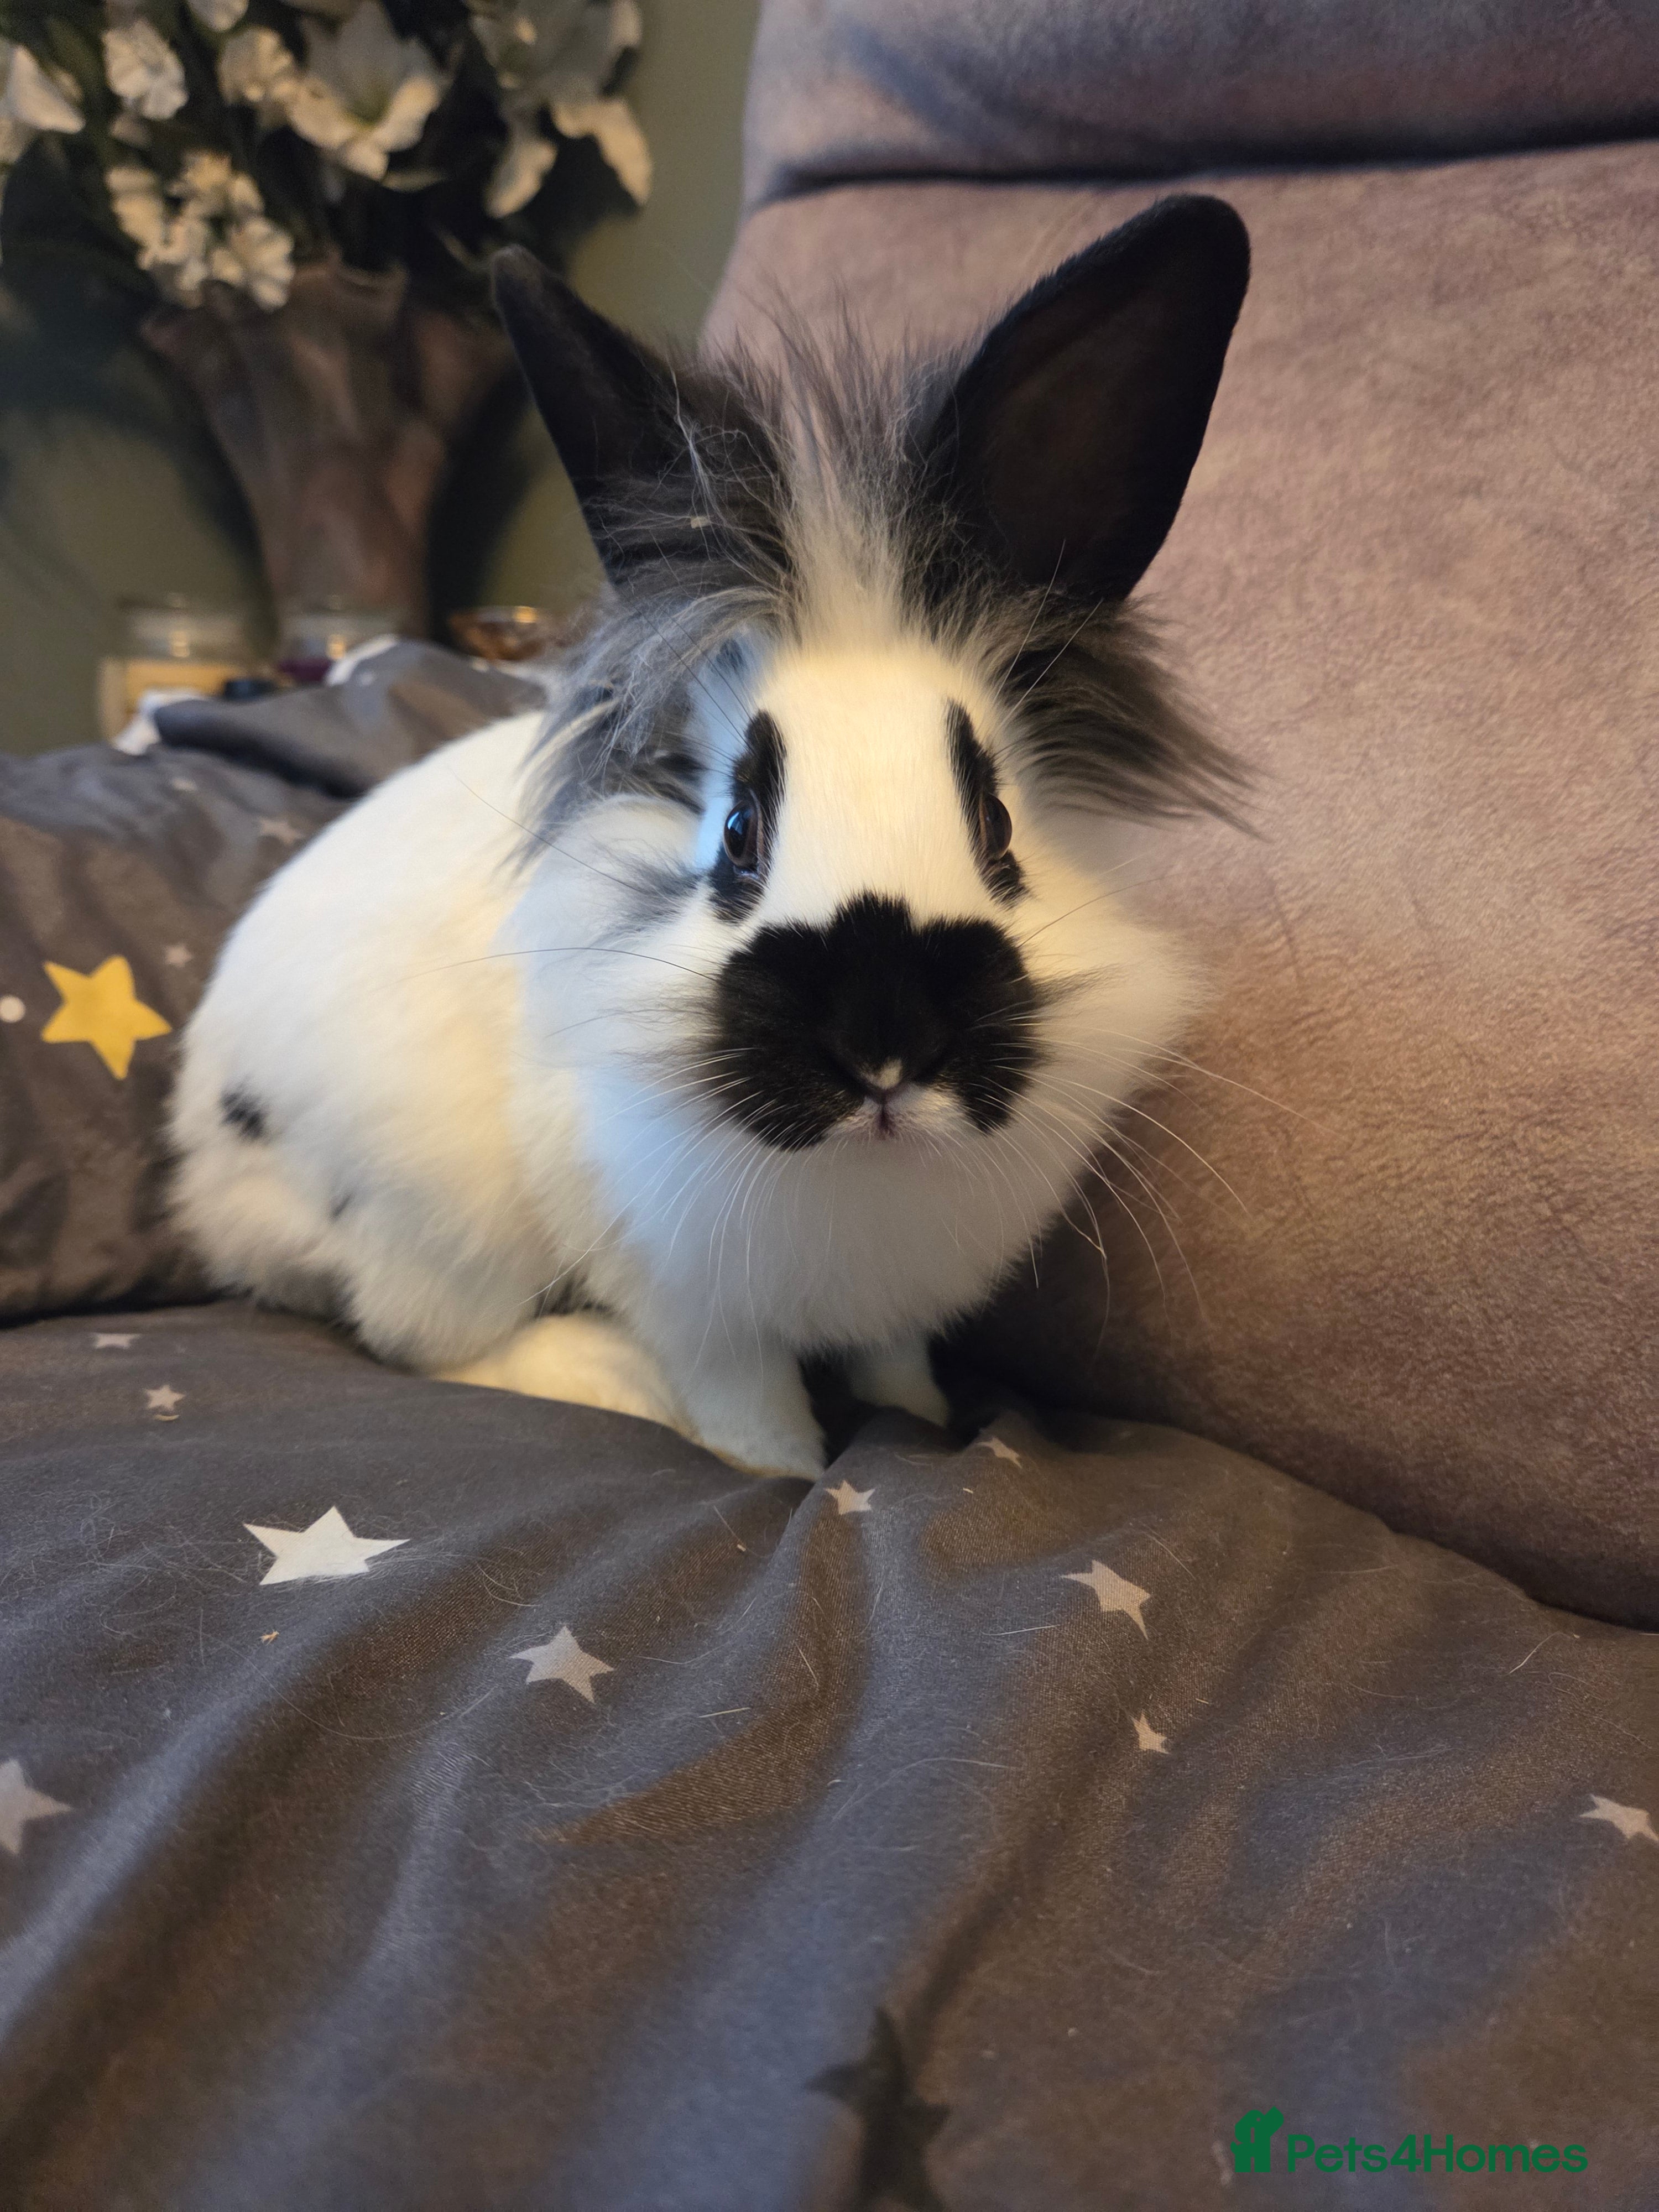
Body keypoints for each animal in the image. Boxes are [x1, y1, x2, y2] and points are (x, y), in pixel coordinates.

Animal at [169, 194, 1250, 1480]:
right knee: (424, 1340)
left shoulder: (894, 1303)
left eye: (996, 823)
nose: (883, 1044)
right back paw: (605, 1375)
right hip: (441, 1214)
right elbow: (748, 1402)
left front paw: (926, 1427)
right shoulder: (694, 1301)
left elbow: (896, 1364)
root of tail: (204, 1169)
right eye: (737, 832)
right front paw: (788, 1472)